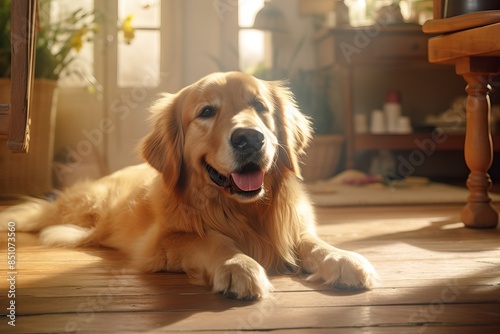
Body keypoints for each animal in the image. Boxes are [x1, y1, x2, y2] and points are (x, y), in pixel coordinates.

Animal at [0, 71, 376, 300]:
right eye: (206, 111)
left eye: (260, 107)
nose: (250, 138)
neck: (240, 211)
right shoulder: (163, 243)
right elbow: (211, 241)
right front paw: (238, 265)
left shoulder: (291, 228)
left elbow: (312, 242)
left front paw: (342, 257)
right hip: (84, 206)